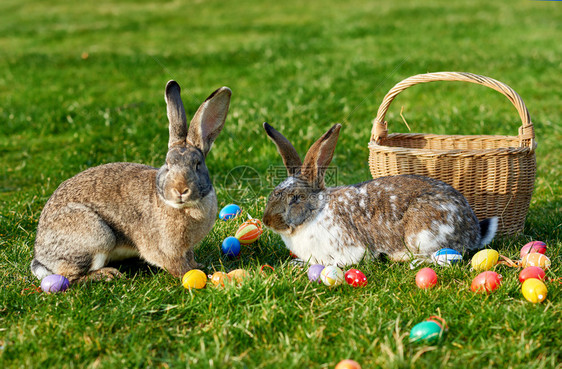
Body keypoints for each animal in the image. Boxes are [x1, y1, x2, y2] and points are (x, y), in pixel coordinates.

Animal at [30, 81, 230, 282]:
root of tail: (41, 256)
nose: (180, 189)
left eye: (197, 165)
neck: (183, 207)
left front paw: (199, 266)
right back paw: (107, 274)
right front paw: (195, 275)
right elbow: (178, 266)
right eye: (167, 164)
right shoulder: (167, 250)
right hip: (97, 235)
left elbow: (189, 257)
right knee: (69, 277)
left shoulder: (187, 249)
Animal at [260, 122, 496, 266]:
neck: (316, 211)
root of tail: (473, 231)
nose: (267, 221)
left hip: (424, 234)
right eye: (274, 193)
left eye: (296, 198)